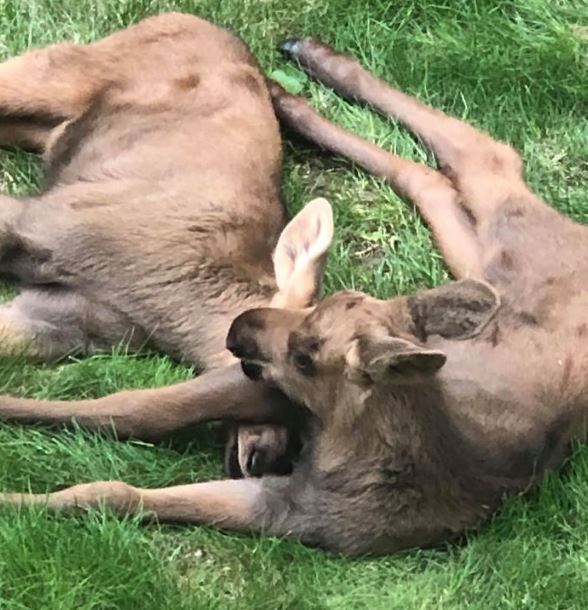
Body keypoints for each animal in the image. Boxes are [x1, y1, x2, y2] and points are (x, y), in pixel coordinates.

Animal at [0, 13, 584, 556]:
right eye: (301, 333)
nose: (265, 457)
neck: (161, 298)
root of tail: (197, 19)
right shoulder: (42, 228)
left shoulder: (66, 316)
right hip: (54, 80)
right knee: (480, 154)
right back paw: (297, 72)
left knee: (442, 174)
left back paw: (294, 80)